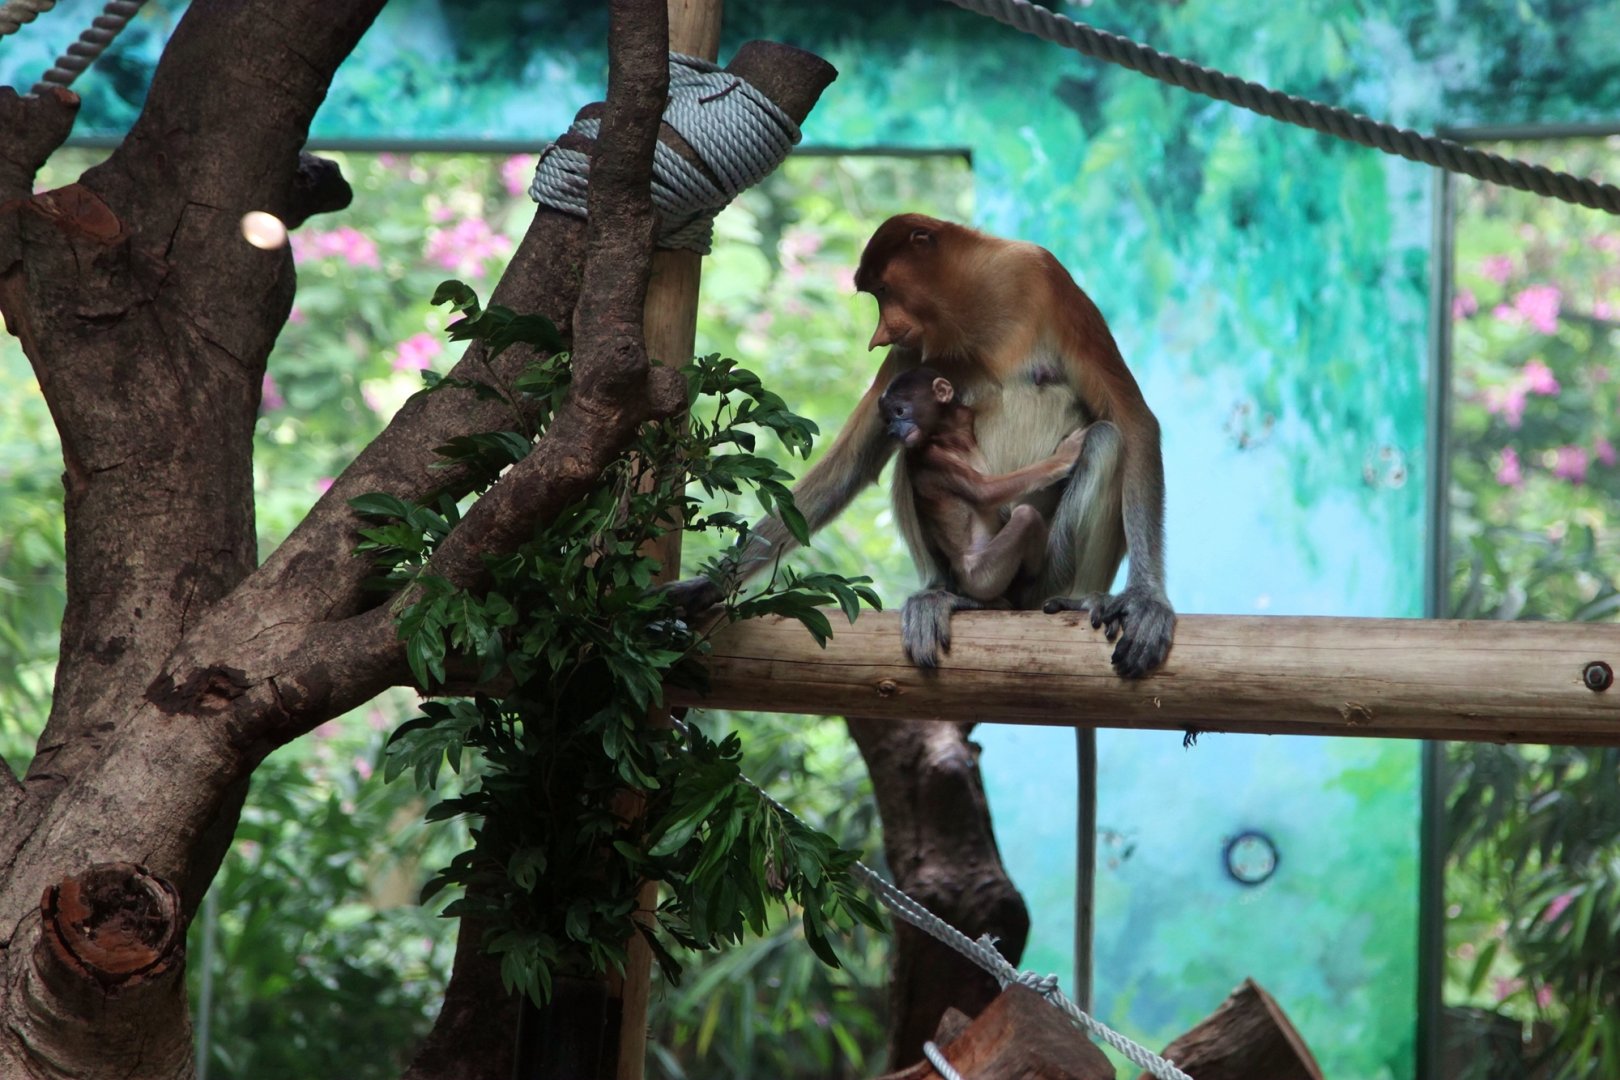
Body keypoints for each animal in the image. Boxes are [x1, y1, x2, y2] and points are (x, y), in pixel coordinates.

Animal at [879, 366, 1089, 604]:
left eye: (898, 412)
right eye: (888, 419)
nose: (893, 430)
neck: (951, 438)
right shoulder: (928, 456)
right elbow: (985, 493)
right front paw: (1064, 457)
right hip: (981, 576)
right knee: (1026, 516)